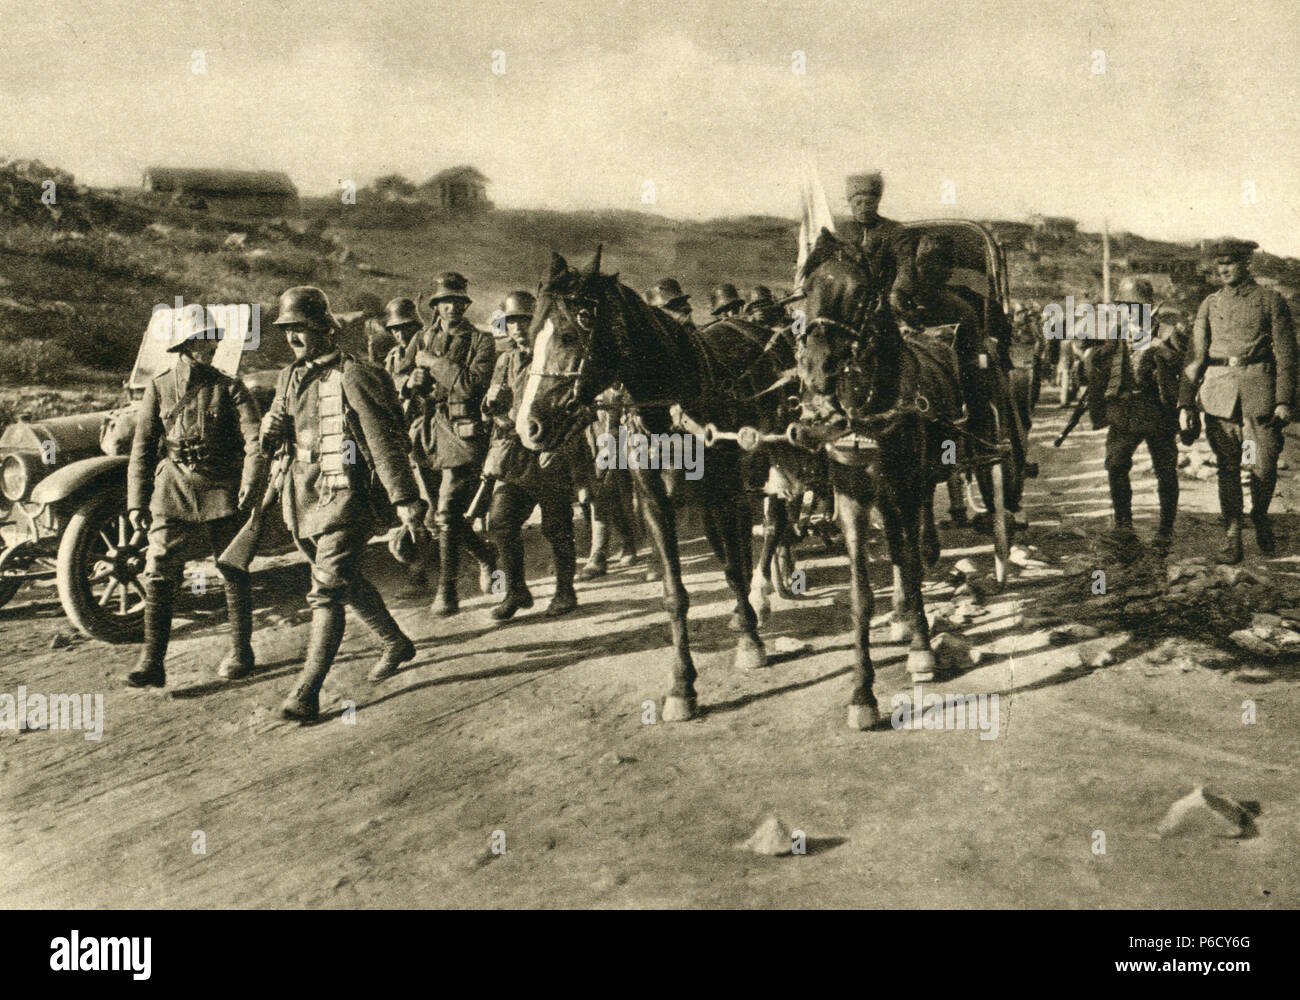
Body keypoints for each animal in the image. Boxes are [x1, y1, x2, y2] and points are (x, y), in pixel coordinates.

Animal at [512, 247, 795, 723]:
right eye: (532, 335)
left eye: (571, 333)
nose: (528, 427)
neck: (673, 402)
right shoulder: (655, 500)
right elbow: (674, 594)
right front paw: (682, 686)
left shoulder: (723, 491)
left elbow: (735, 566)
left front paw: (750, 644)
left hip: (773, 462)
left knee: (772, 524)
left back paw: (763, 594)